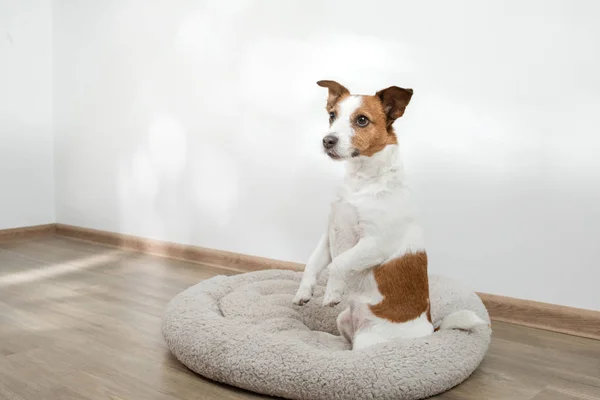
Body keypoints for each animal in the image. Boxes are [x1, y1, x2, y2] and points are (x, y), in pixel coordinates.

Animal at [294, 79, 488, 348]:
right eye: (332, 115)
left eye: (362, 120)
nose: (327, 140)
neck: (361, 181)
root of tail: (430, 330)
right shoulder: (329, 235)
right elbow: (312, 264)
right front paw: (304, 292)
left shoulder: (375, 243)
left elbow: (339, 264)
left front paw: (332, 293)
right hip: (343, 320)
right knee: (344, 342)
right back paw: (322, 338)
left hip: (367, 340)